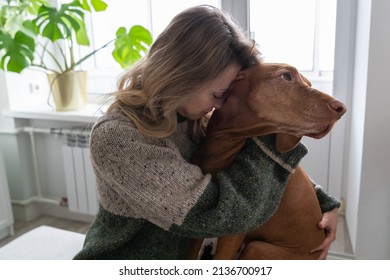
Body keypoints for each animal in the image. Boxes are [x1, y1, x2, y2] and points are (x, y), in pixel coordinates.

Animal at [187, 62, 346, 260]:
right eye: (287, 76)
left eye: (309, 84)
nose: (341, 108)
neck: (222, 140)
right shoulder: (199, 231)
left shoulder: (234, 232)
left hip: (256, 248)